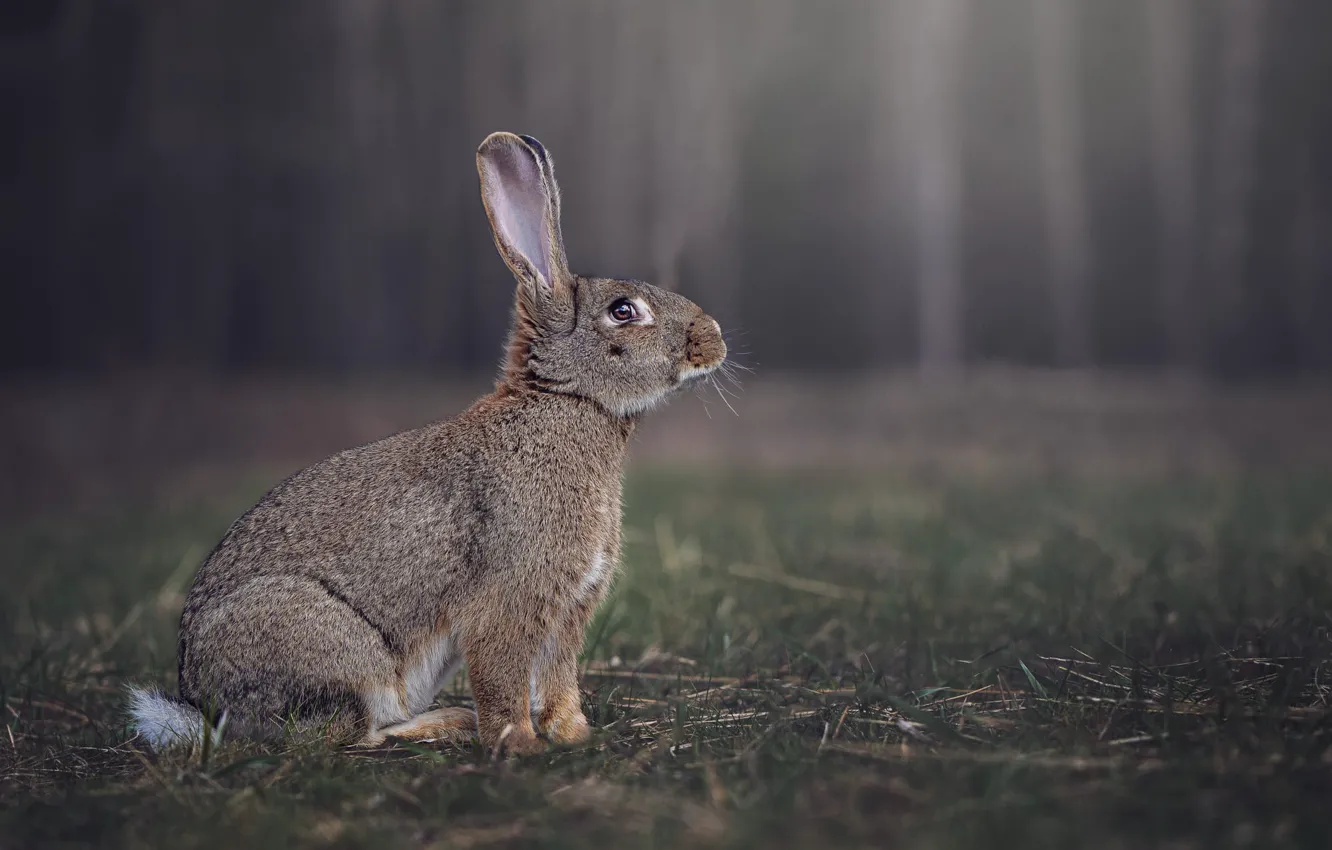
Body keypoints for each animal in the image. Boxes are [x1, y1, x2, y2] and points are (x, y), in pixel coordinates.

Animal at [127, 132, 727, 755]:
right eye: (623, 311)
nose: (714, 339)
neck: (565, 398)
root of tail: (202, 704)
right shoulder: (509, 598)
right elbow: (502, 676)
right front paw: (519, 744)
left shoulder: (568, 609)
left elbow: (559, 679)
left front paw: (573, 735)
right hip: (335, 648)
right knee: (347, 733)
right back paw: (450, 722)